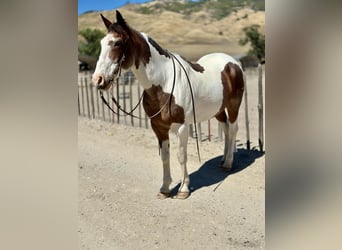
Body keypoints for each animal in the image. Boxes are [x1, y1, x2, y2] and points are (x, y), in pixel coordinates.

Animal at [92, 11, 244, 199]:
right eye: (101, 43)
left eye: (117, 43)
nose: (98, 80)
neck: (164, 81)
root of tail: (232, 62)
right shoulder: (158, 127)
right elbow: (165, 156)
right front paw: (165, 188)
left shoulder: (182, 127)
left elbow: (181, 156)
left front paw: (183, 189)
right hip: (218, 109)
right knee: (225, 128)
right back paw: (223, 159)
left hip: (234, 105)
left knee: (233, 129)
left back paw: (228, 163)